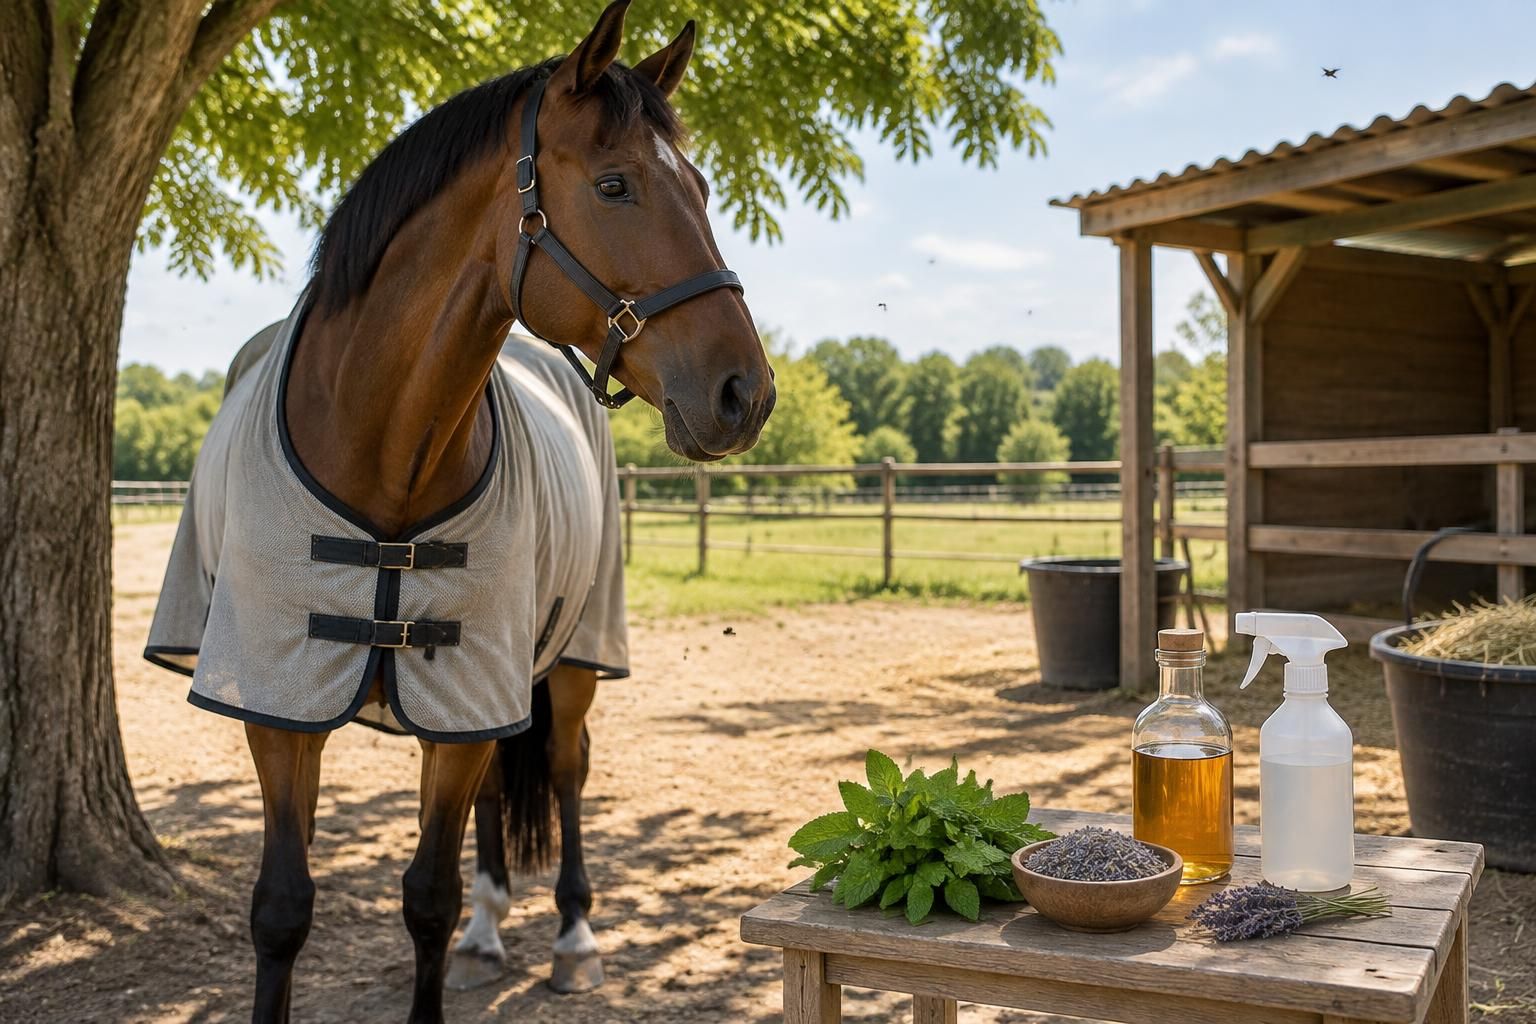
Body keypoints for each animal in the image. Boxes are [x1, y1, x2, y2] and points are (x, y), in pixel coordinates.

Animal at [142, 3, 774, 1020]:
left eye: (705, 188)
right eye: (615, 184)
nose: (743, 392)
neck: (377, 446)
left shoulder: (471, 682)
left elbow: (427, 900)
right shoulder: (278, 700)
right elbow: (282, 906)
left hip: (565, 660)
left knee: (566, 768)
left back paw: (572, 937)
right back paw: (490, 932)